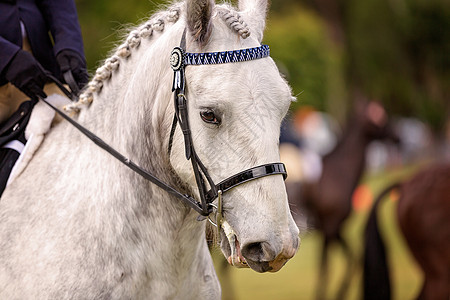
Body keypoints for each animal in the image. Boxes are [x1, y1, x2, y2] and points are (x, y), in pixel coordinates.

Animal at [286, 99, 400, 300]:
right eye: (381, 117)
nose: (398, 136)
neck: (339, 172)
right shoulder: (330, 229)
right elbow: (325, 269)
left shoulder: (336, 229)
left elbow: (352, 260)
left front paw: (340, 293)